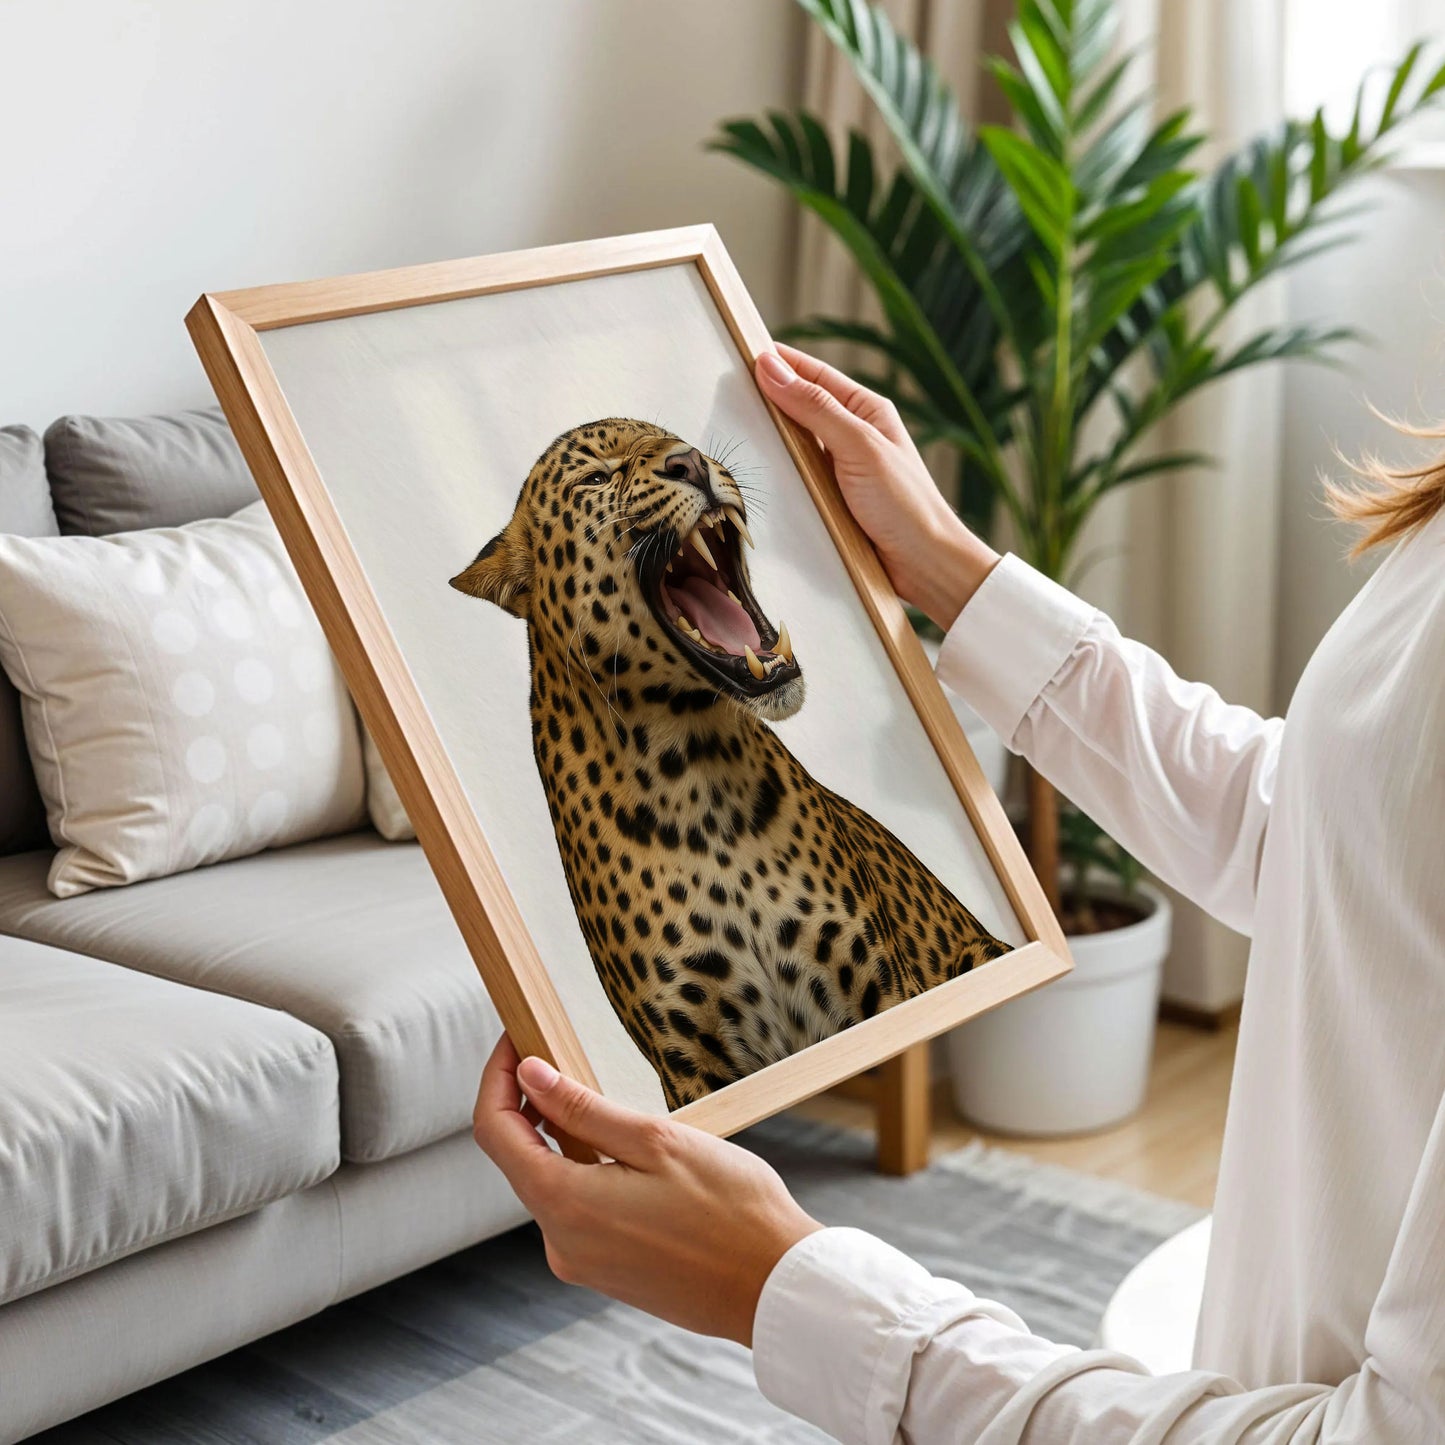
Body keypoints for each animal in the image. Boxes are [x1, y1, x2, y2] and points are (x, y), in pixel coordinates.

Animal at [450, 419, 1008, 1109]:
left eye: (668, 436)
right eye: (596, 477)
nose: (688, 461)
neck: (692, 766)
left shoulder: (879, 986)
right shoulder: (692, 1061)